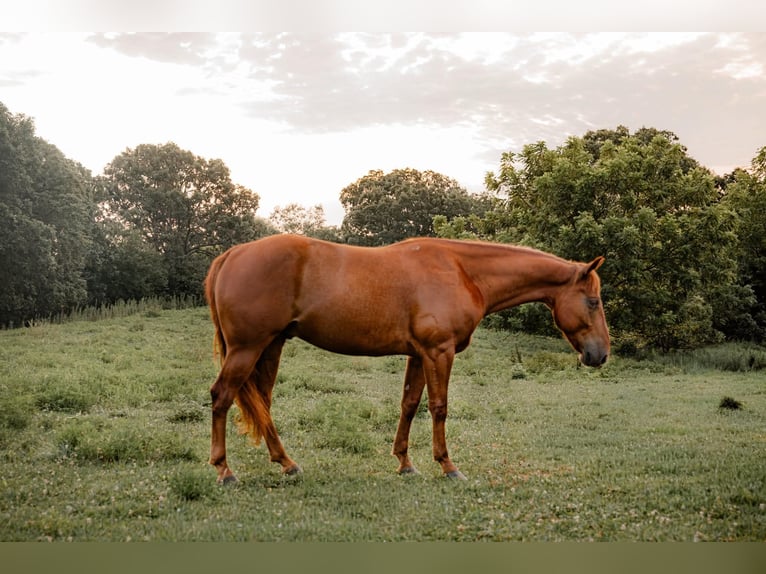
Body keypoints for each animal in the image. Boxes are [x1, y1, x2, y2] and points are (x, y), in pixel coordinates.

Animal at [204, 234, 610, 483]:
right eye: (593, 301)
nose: (600, 354)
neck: (462, 271)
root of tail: (232, 254)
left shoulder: (418, 354)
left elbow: (410, 405)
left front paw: (405, 463)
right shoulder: (438, 351)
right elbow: (439, 407)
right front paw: (448, 466)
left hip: (270, 346)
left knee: (263, 403)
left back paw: (286, 463)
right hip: (247, 348)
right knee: (222, 397)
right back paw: (224, 470)